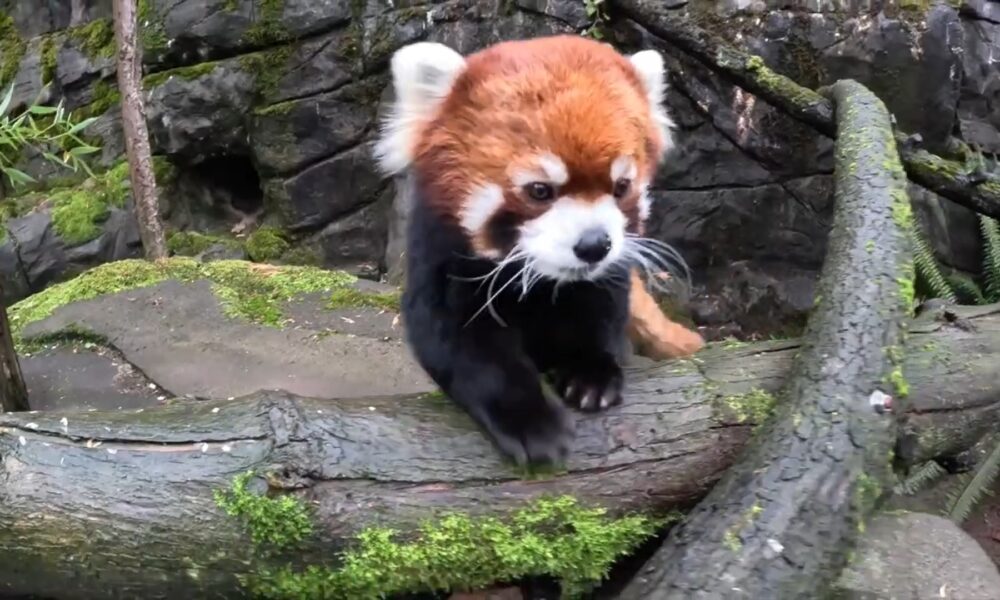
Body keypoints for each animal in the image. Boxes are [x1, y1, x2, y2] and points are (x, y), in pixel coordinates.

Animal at [376, 34, 704, 468]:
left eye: (620, 187)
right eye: (539, 190)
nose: (594, 244)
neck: (539, 280)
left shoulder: (607, 277)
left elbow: (601, 315)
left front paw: (590, 373)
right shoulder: (443, 256)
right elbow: (459, 340)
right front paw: (530, 422)